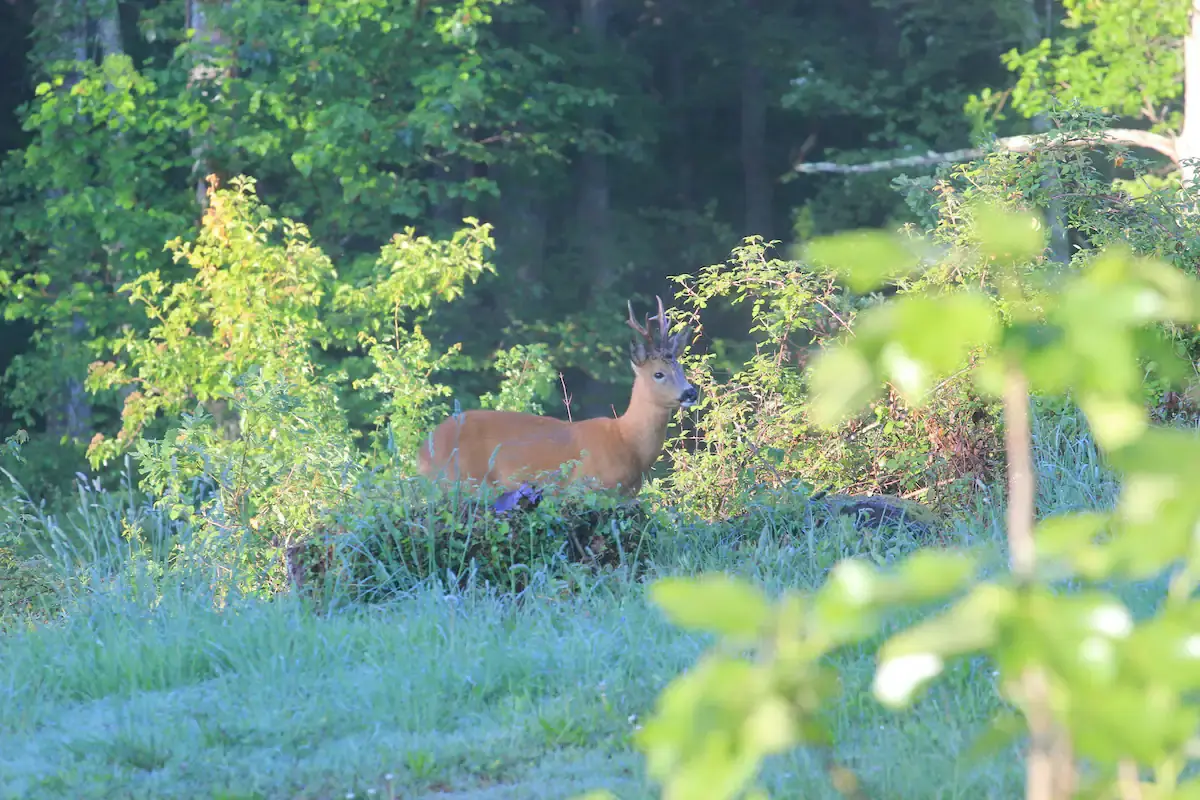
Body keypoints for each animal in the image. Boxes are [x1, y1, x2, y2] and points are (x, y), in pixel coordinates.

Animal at [420, 297, 696, 496]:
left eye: (681, 369)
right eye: (658, 373)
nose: (690, 392)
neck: (626, 441)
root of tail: (422, 452)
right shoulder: (585, 486)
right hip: (462, 481)